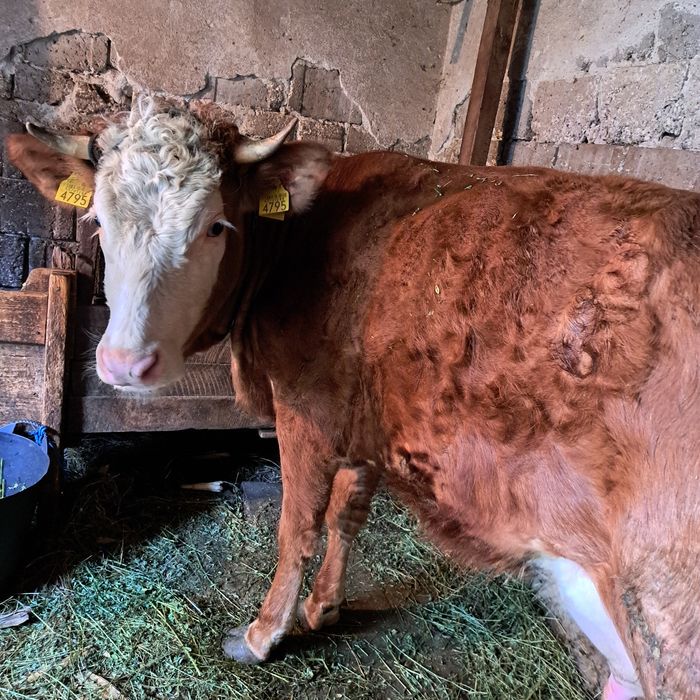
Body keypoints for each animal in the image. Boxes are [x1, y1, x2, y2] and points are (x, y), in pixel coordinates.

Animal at [6, 97, 700, 699]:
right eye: (98, 220)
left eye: (216, 226)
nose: (124, 362)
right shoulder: (364, 414)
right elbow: (347, 512)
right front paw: (323, 607)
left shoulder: (305, 408)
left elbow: (297, 526)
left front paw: (263, 635)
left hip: (666, 615)